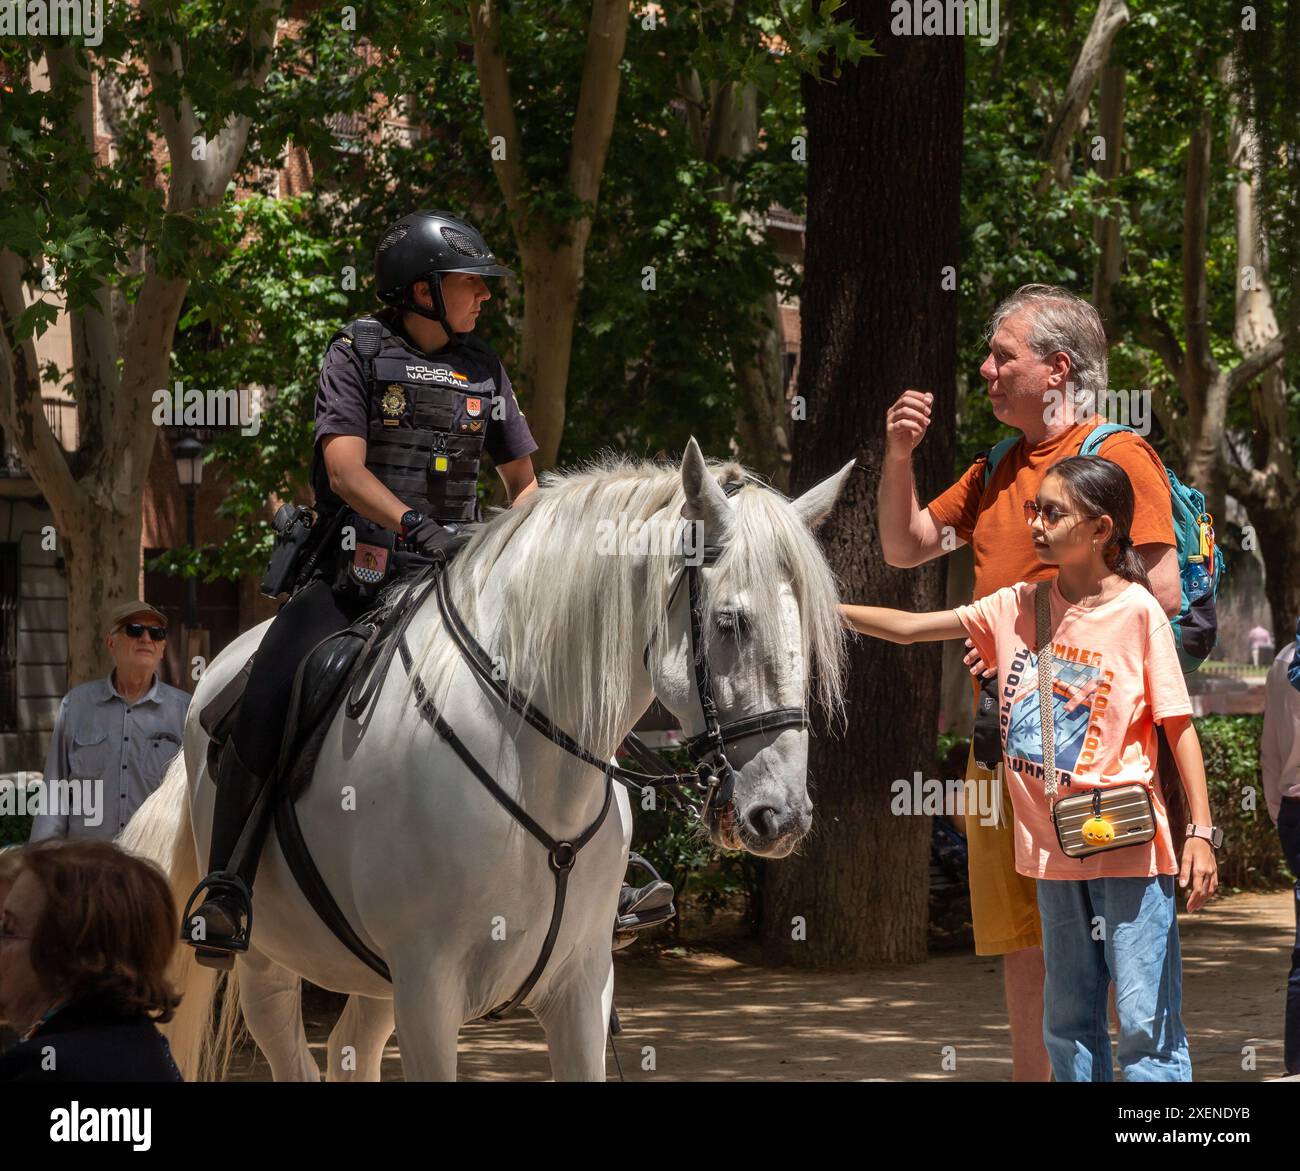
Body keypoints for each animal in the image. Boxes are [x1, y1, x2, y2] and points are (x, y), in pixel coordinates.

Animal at [122, 439, 852, 1076]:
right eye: (730, 622)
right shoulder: (428, 991)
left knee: (351, 1048)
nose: (779, 814)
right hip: (270, 961)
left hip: (373, 979)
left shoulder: (581, 990)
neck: (534, 770)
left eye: (806, 626)